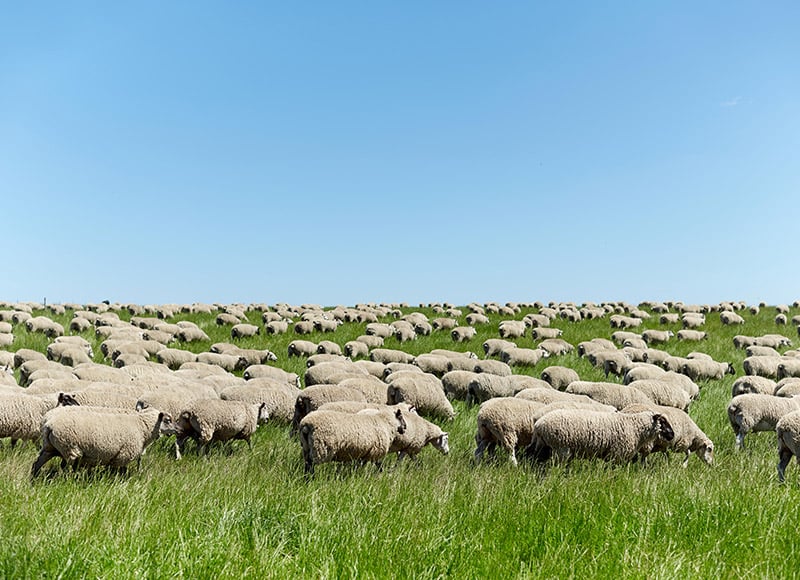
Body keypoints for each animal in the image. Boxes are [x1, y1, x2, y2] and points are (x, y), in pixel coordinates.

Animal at [32, 406, 175, 478]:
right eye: (168, 420)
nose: (178, 429)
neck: (142, 427)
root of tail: (49, 425)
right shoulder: (123, 455)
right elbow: (119, 472)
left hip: (50, 448)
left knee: (36, 464)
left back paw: (33, 479)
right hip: (70, 448)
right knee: (65, 468)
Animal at [524, 410, 676, 464]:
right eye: (662, 421)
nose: (672, 434)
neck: (635, 428)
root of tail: (538, 424)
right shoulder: (617, 453)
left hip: (543, 445)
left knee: (532, 457)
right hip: (561, 448)